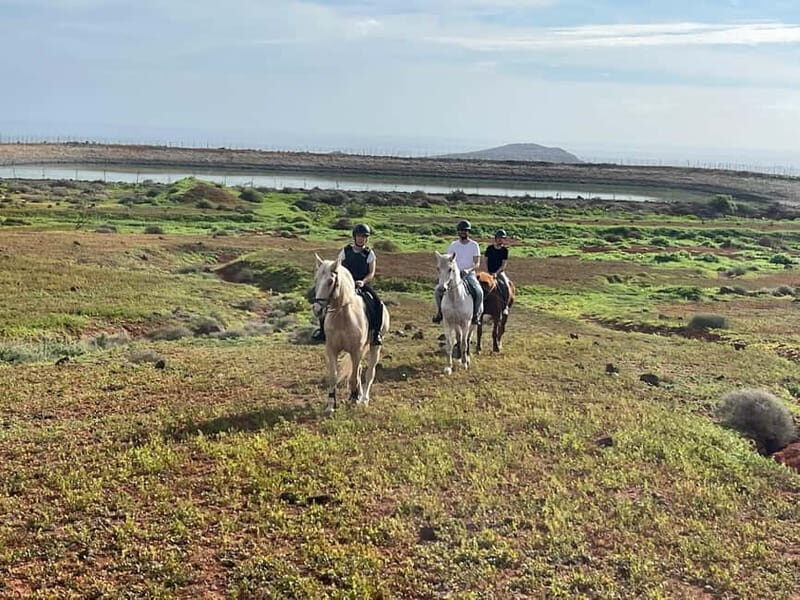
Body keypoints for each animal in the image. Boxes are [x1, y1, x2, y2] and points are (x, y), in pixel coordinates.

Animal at [312, 254, 390, 416]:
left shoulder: (356, 351)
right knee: (359, 370)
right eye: (316, 279)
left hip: (374, 346)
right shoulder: (332, 350)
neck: (342, 316)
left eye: (330, 281)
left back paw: (364, 398)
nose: (317, 309)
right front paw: (331, 405)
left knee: (369, 372)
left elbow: (354, 376)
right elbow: (333, 376)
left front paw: (354, 399)